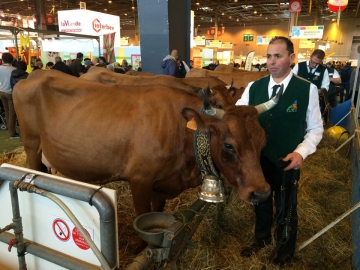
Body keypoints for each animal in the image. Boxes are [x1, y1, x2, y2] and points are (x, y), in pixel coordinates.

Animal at [13, 70, 282, 217]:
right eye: (228, 146)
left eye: (263, 142)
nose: (262, 192)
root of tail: (35, 76)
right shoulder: (140, 180)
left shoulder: (160, 184)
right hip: (31, 147)